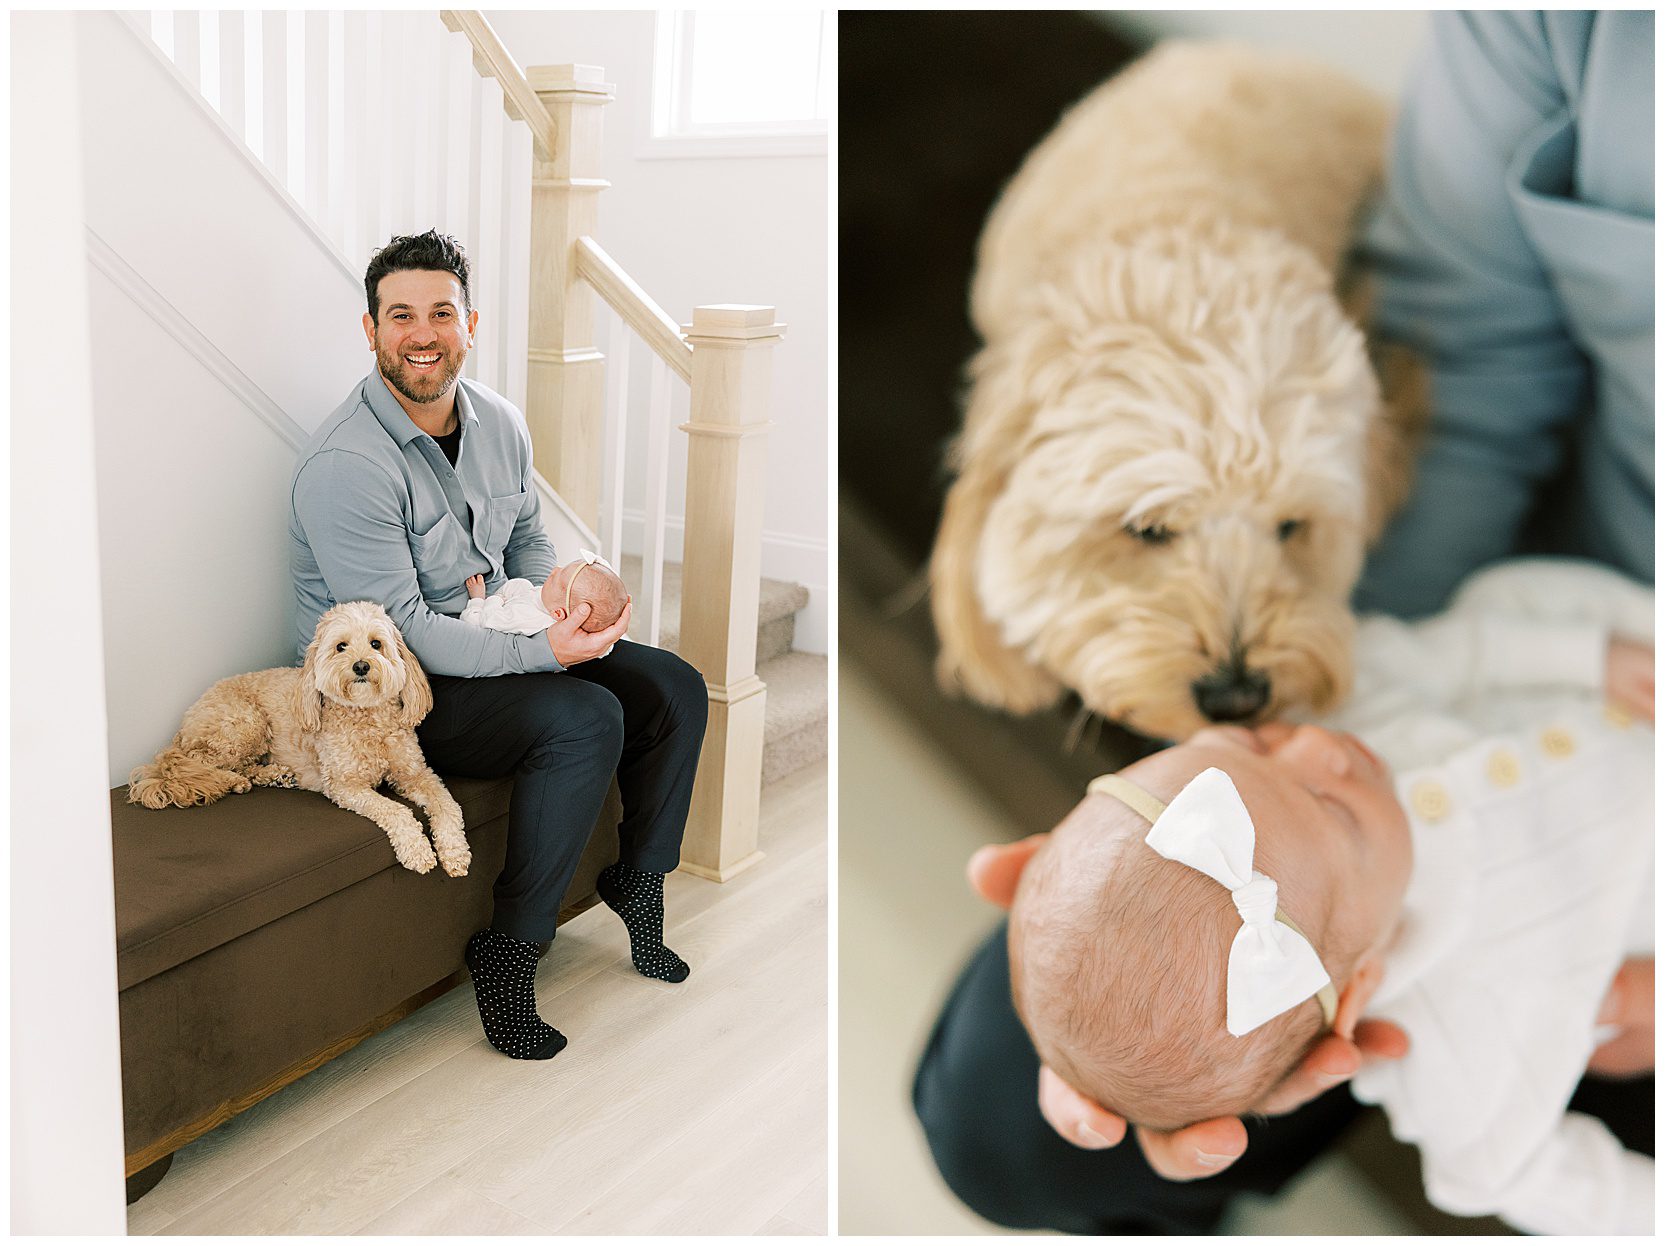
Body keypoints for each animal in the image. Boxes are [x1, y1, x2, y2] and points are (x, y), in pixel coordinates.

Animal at [127, 599, 469, 872]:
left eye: (376, 644)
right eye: (341, 646)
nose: (361, 666)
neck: (365, 717)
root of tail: (185, 723)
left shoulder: (415, 773)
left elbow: (447, 805)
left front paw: (454, 852)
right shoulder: (345, 785)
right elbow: (396, 810)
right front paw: (418, 851)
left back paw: (274, 775)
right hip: (243, 724)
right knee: (201, 763)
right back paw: (233, 781)